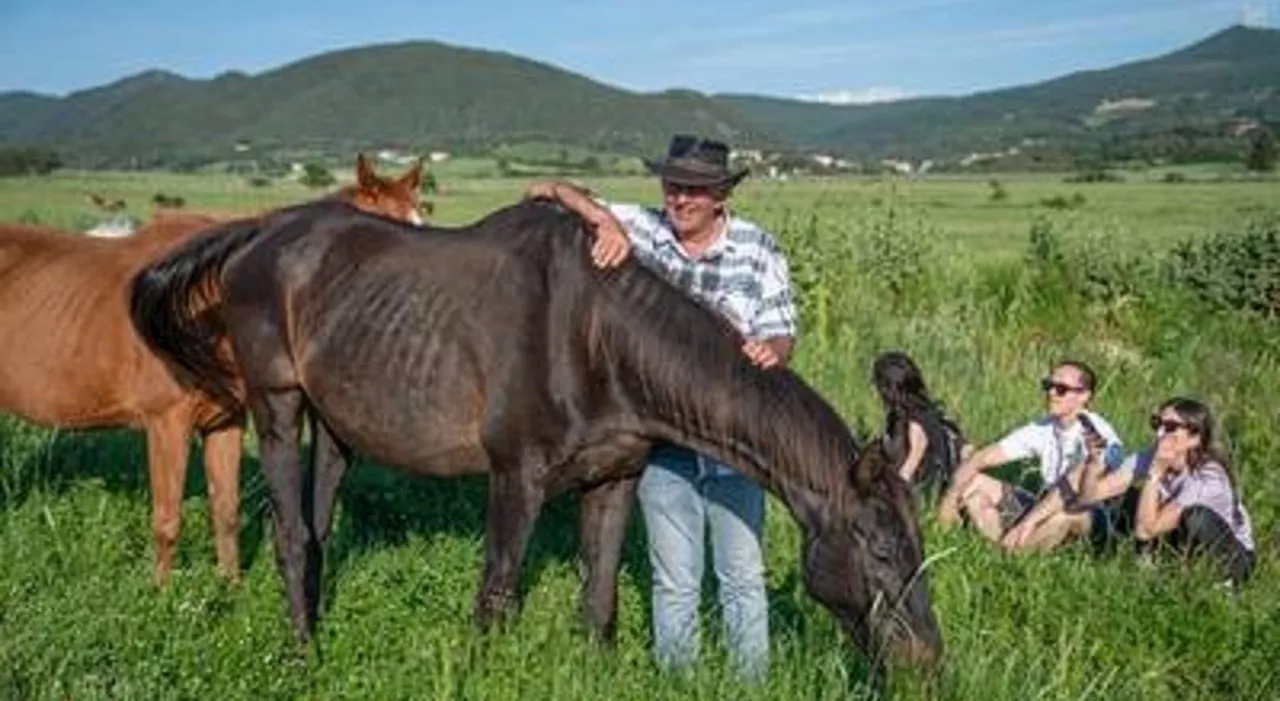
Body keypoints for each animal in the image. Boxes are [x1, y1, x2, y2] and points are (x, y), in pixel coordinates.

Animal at [0, 154, 424, 585]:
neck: (201, 304)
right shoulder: (166, 425)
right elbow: (167, 520)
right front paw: (163, 592)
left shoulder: (226, 422)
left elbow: (226, 511)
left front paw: (230, 586)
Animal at [129, 196, 947, 670]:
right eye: (880, 551)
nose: (927, 663)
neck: (596, 338)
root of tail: (261, 231)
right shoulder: (514, 478)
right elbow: (496, 594)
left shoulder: (615, 479)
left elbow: (600, 595)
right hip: (277, 404)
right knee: (292, 533)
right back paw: (304, 653)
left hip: (336, 424)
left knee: (319, 525)